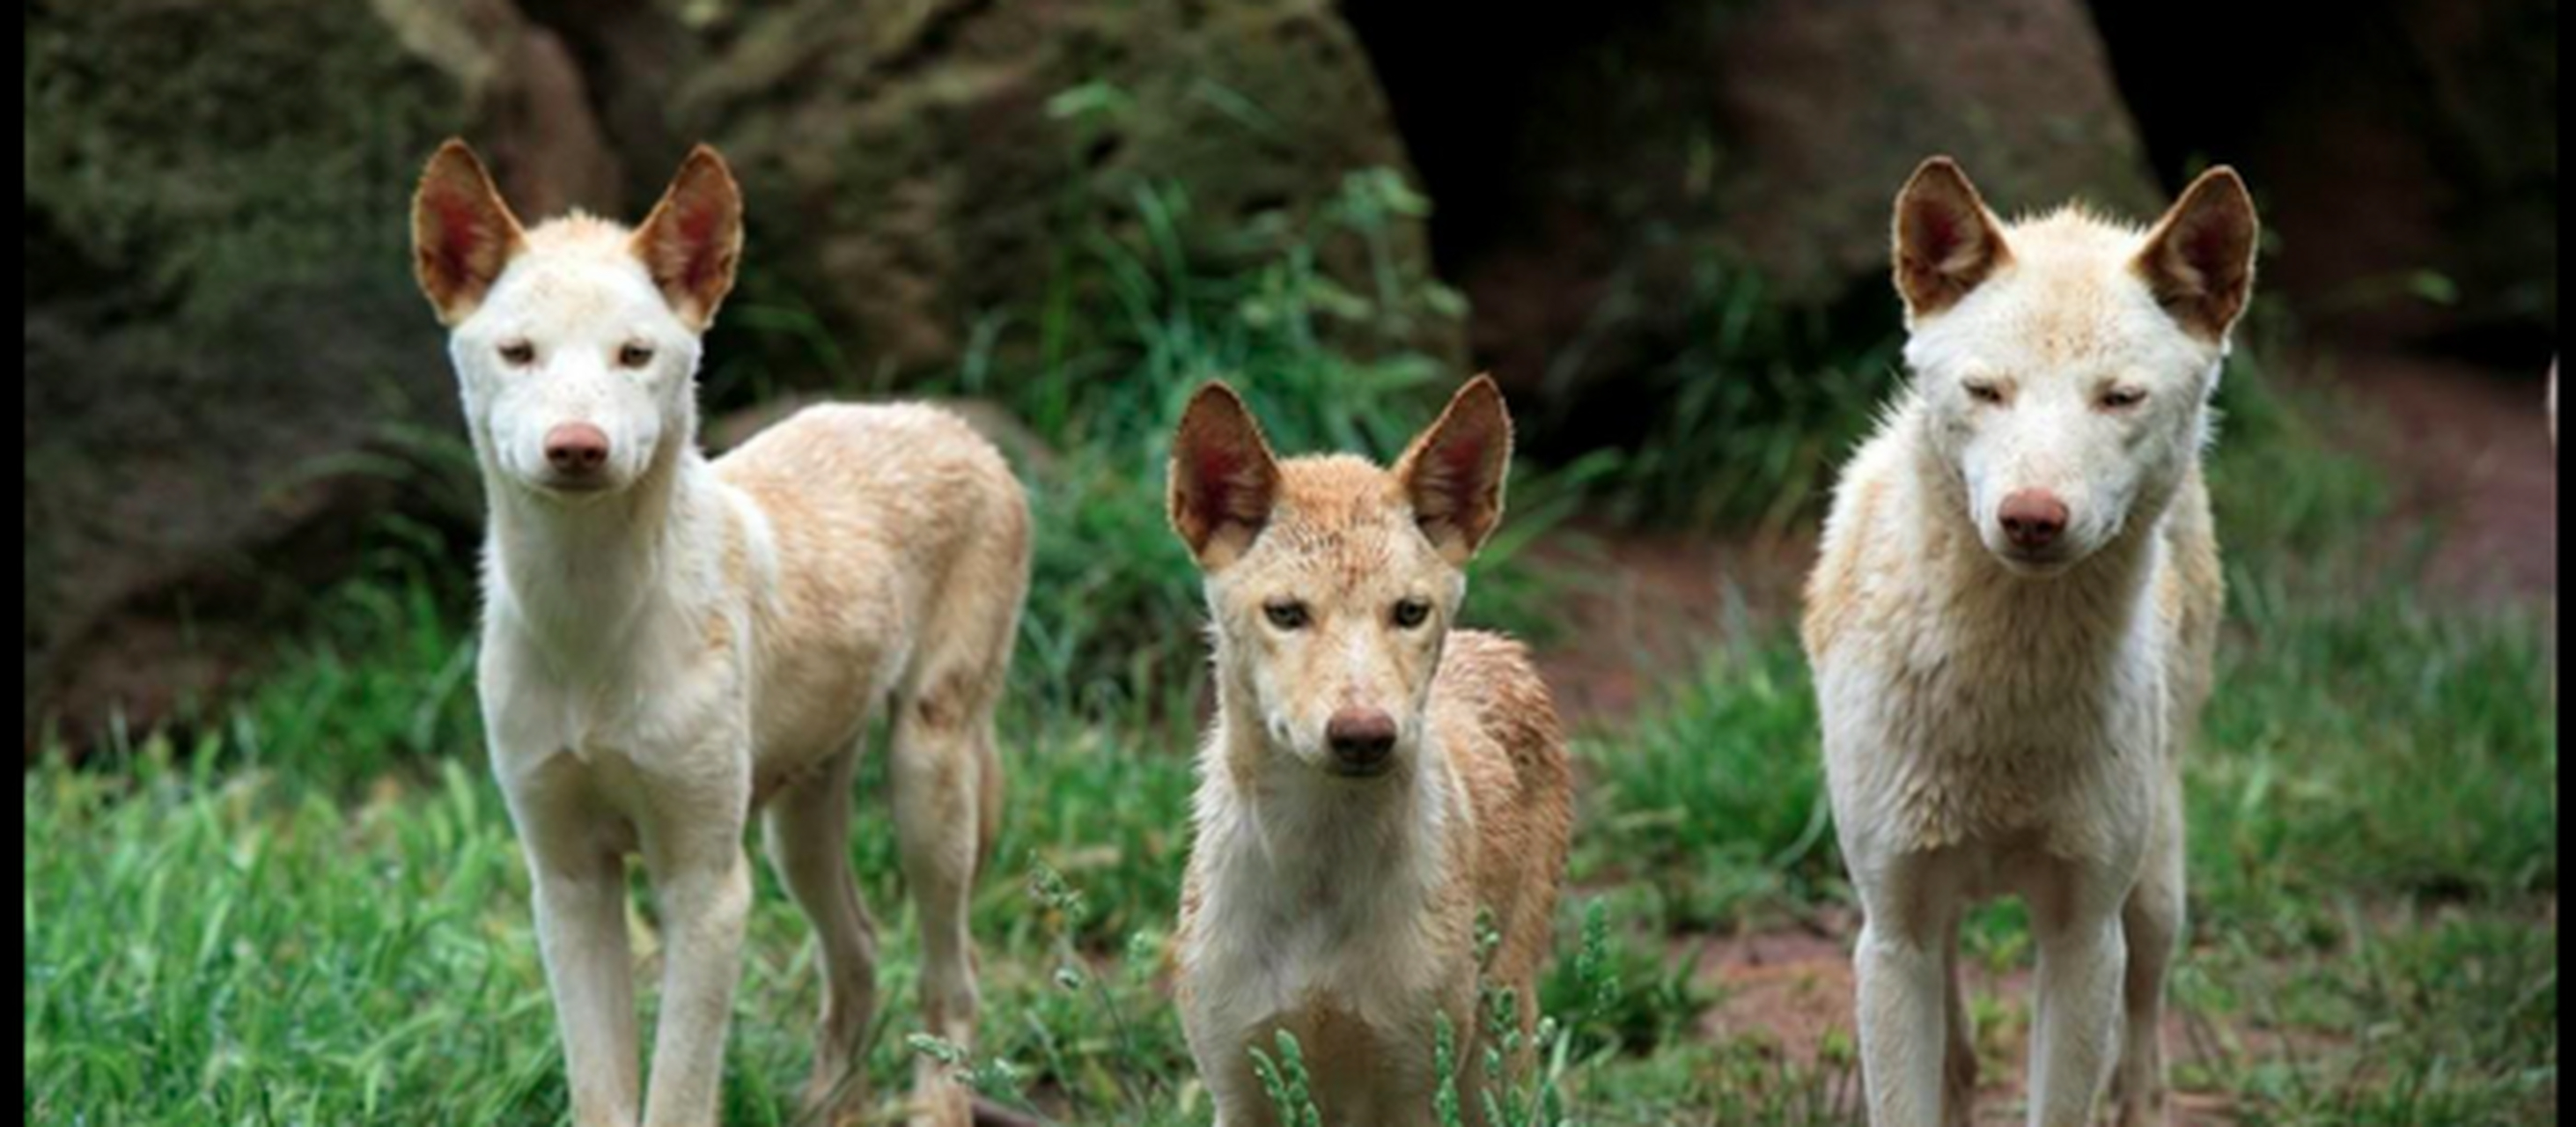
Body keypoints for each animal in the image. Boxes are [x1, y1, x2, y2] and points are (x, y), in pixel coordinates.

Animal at [412, 140, 1025, 1124]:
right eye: (517, 353)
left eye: (635, 355)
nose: (576, 447)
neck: (592, 623)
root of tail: (947, 421)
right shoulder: (569, 881)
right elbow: (604, 1093)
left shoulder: (707, 886)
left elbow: (675, 1094)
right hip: (797, 817)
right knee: (857, 949)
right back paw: (825, 1106)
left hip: (928, 777)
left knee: (951, 975)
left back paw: (932, 1105)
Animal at [1164, 376, 1566, 1124]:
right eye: (1286, 613)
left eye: (1408, 612)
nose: (1364, 734)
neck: (1319, 873)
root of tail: (1496, 646)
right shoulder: (1238, 1081)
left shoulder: (1413, 1084)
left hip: (1495, 1058)